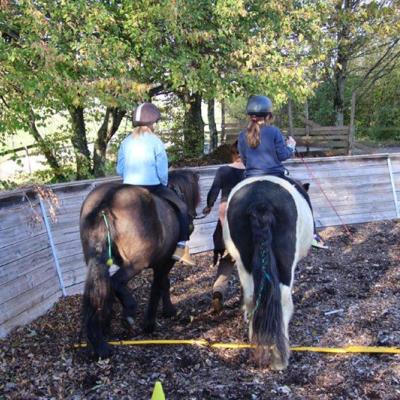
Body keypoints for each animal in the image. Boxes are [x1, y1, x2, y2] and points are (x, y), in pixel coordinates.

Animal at [79, 170, 200, 358]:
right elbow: (160, 285)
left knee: (102, 288)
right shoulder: (164, 262)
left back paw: (99, 341)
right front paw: (155, 320)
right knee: (115, 282)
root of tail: (108, 199)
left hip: (97, 260)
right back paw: (128, 313)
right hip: (137, 263)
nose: (194, 214)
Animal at [223, 177, 314, 370]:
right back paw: (279, 358)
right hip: (286, 263)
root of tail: (260, 202)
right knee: (283, 300)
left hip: (243, 262)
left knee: (252, 298)